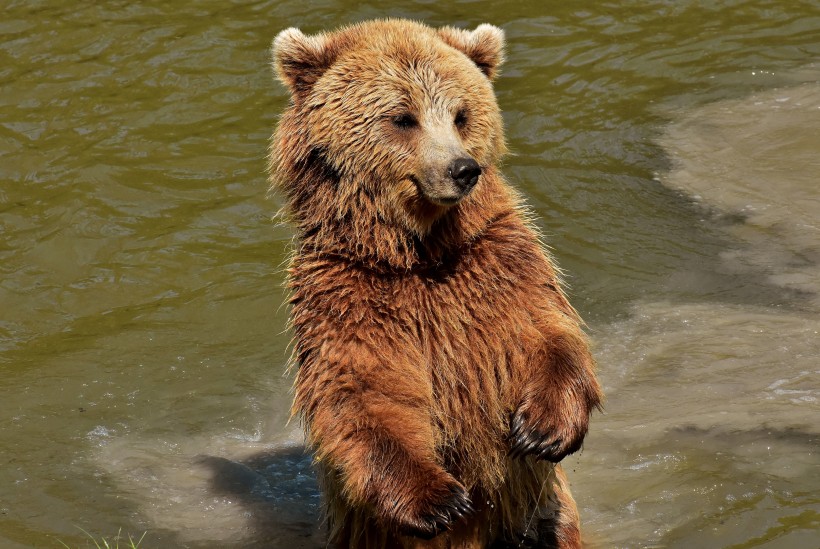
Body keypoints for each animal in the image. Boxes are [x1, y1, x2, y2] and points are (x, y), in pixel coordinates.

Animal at [270, 18, 604, 548]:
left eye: (461, 114)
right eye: (403, 118)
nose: (462, 169)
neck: (419, 254)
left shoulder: (498, 263)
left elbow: (545, 333)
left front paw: (541, 428)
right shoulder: (348, 294)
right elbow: (366, 391)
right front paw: (440, 500)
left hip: (541, 517)